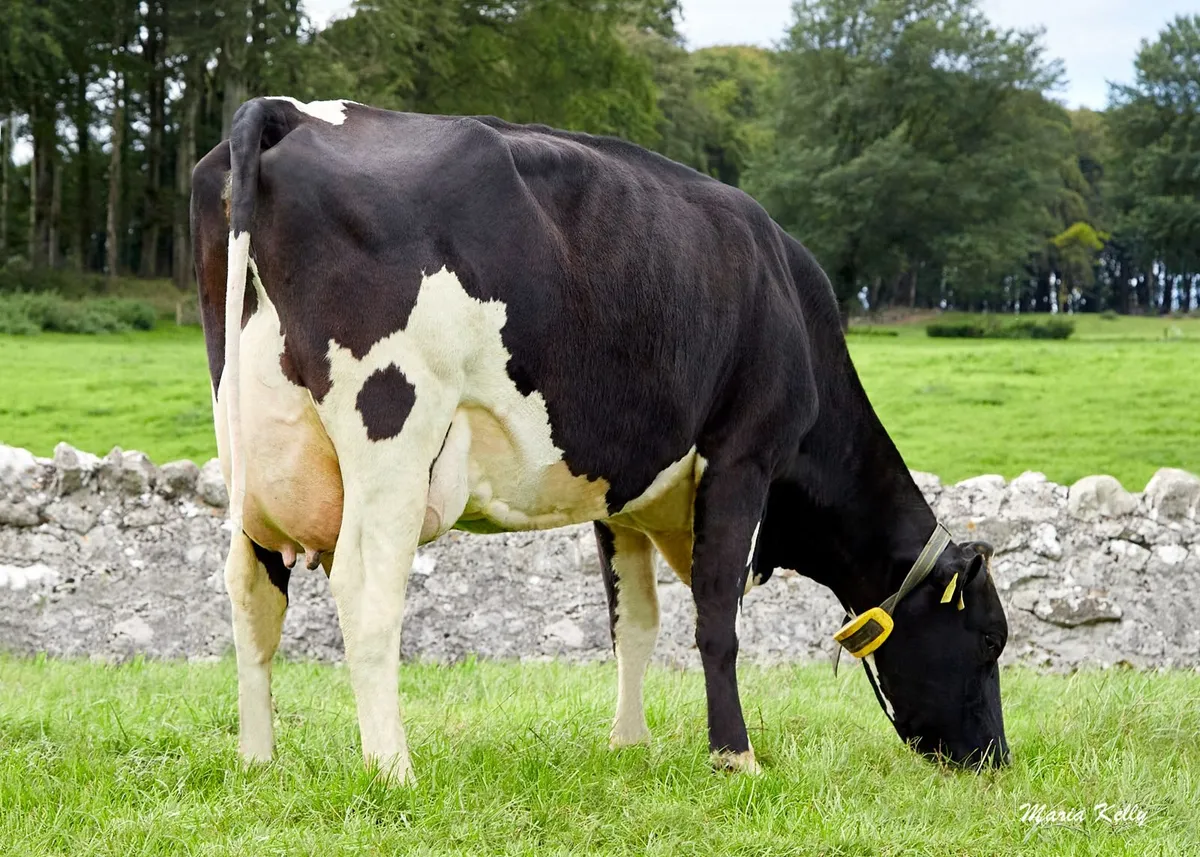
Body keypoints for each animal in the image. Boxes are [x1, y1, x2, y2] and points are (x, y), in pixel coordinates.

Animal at [190, 96, 1010, 786]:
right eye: (990, 642)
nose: (996, 759)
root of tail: (290, 112)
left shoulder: (624, 494)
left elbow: (634, 621)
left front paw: (629, 743)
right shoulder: (743, 454)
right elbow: (716, 615)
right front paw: (735, 755)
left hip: (247, 448)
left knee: (252, 591)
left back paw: (258, 760)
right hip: (391, 429)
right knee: (366, 592)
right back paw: (393, 768)